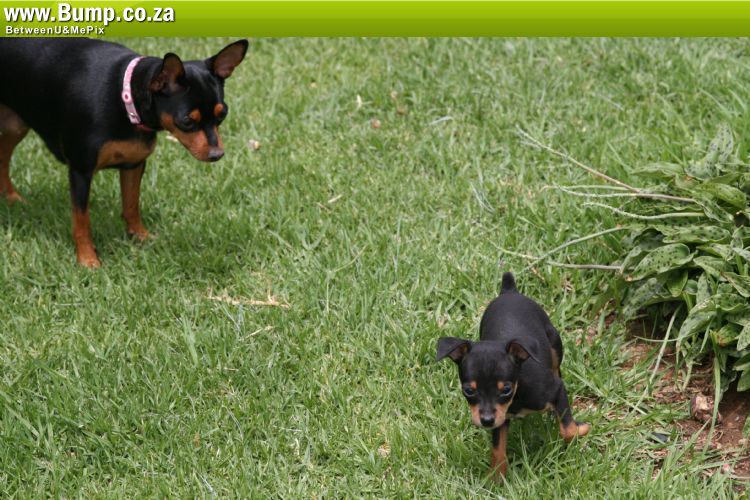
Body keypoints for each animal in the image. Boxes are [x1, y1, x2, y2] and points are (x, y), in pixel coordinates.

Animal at [0, 37, 247, 267]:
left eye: (222, 115)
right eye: (187, 121)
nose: (217, 154)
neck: (124, 98)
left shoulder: (134, 164)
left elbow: (131, 204)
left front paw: (140, 236)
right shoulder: (80, 171)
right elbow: (81, 220)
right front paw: (87, 259)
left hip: (14, 126)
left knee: (3, 158)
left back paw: (10, 197)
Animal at [436, 272, 590, 478]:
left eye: (506, 389)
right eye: (468, 390)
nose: (486, 421)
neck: (518, 391)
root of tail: (509, 291)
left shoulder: (556, 389)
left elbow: (568, 429)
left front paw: (580, 430)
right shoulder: (500, 417)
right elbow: (498, 448)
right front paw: (495, 477)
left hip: (555, 343)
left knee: (557, 368)